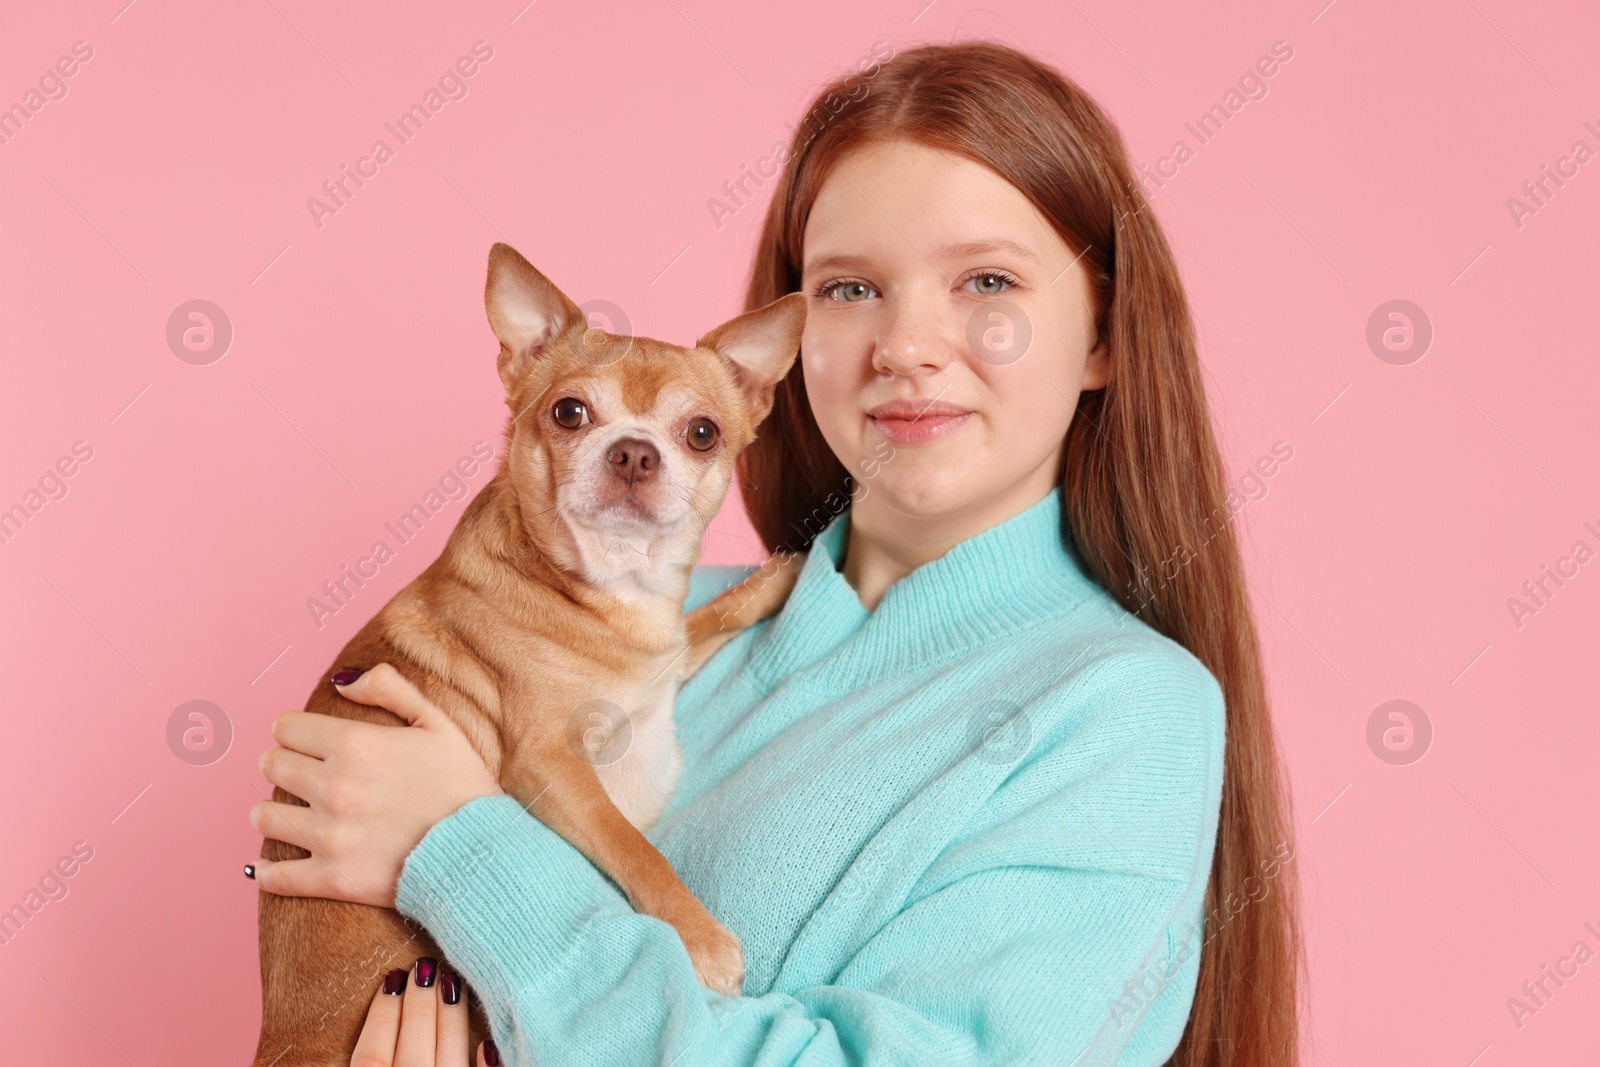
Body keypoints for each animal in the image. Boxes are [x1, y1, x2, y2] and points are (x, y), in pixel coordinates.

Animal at [256, 244, 806, 1067]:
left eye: (703, 432)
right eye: (569, 413)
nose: (634, 451)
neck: (607, 586)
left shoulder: (660, 663)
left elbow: (707, 618)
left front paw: (779, 577)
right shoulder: (549, 762)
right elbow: (633, 846)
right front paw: (702, 937)